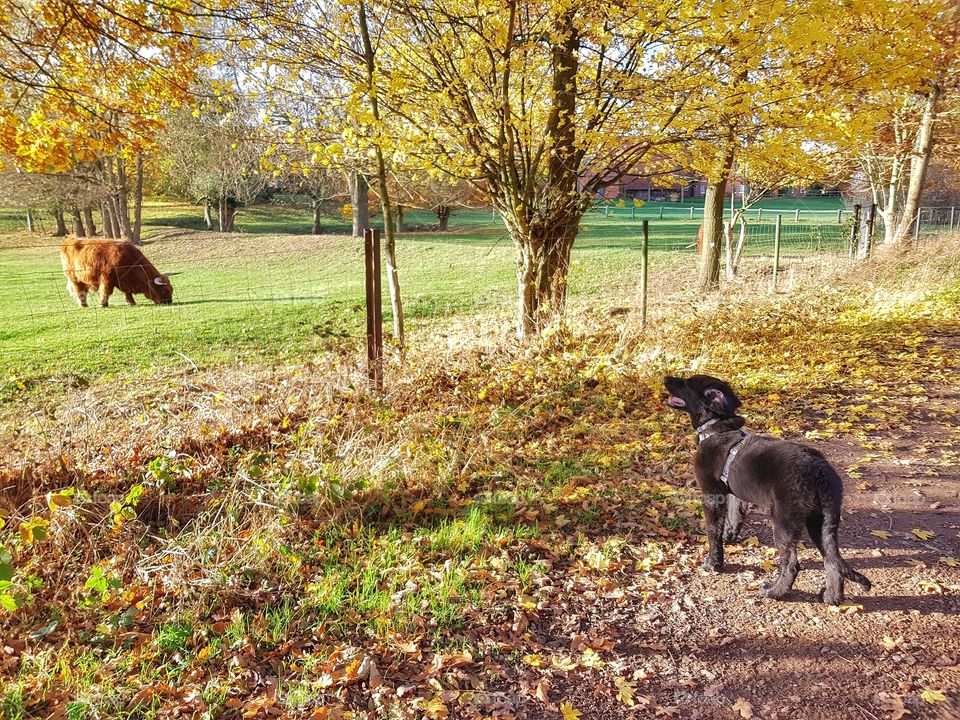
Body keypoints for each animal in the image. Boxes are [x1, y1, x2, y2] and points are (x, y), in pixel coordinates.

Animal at [664, 374, 868, 604]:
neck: (716, 429)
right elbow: (734, 518)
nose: (666, 377)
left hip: (784, 522)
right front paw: (729, 537)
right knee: (832, 561)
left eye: (685, 383)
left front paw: (713, 563)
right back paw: (831, 598)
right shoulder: (735, 495)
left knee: (792, 565)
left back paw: (774, 592)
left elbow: (712, 531)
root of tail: (821, 472)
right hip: (821, 522)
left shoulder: (712, 496)